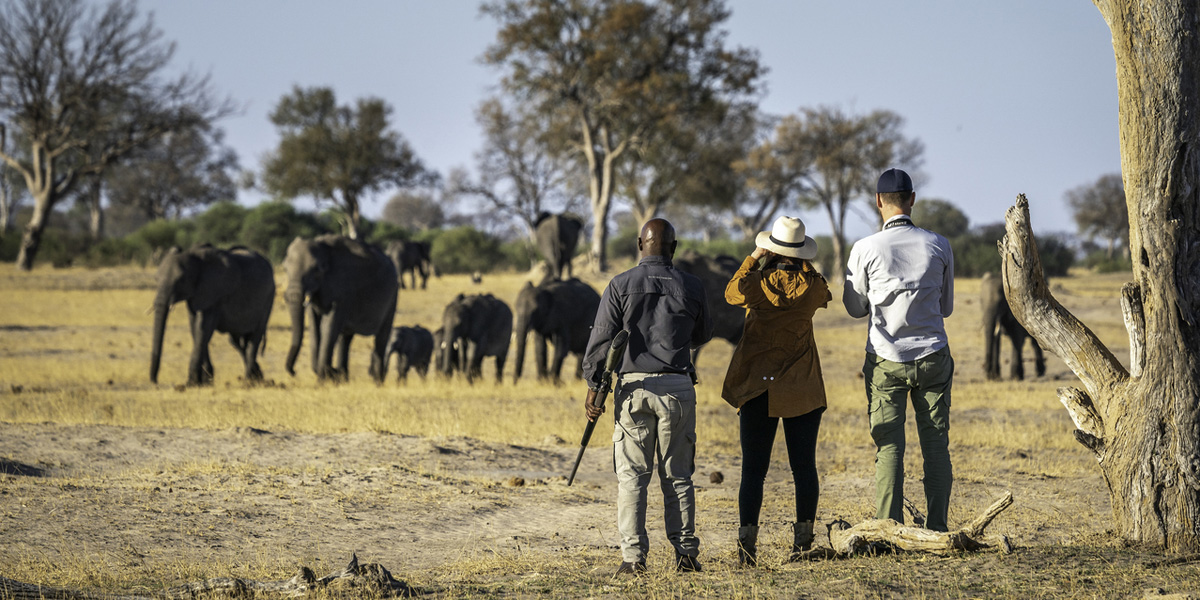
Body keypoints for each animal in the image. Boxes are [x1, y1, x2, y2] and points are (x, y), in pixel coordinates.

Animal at [150, 242, 274, 384]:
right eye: (156, 279)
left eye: (181, 280)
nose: (155, 381)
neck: (196, 259)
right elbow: (194, 328)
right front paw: (205, 380)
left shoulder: (216, 295)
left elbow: (203, 328)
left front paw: (192, 383)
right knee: (237, 340)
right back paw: (256, 375)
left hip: (269, 298)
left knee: (255, 336)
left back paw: (249, 380)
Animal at [280, 235, 398, 381]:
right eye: (285, 269)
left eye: (317, 270)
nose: (293, 372)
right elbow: (314, 325)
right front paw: (330, 375)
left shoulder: (342, 289)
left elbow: (329, 325)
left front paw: (324, 378)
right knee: (345, 337)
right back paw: (344, 377)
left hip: (393, 295)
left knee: (381, 337)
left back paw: (377, 381)